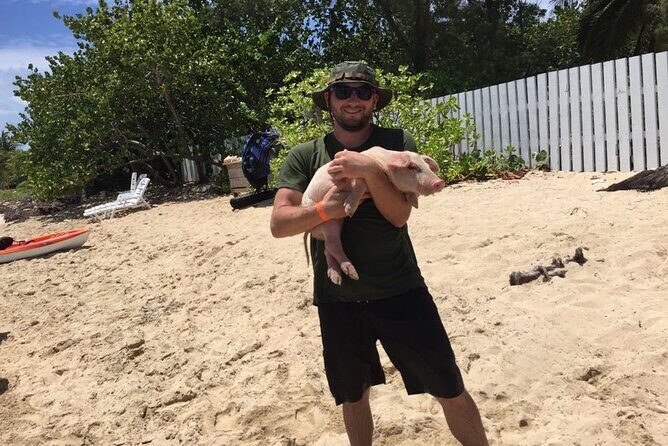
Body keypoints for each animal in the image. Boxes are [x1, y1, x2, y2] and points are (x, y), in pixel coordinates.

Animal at [302, 146, 445, 285]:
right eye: (412, 167)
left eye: (427, 167)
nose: (440, 182)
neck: (383, 165)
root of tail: (312, 230)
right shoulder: (356, 175)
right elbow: (360, 185)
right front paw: (349, 209)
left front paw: (415, 203)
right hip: (328, 221)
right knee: (331, 246)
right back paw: (353, 275)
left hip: (336, 223)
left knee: (328, 248)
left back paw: (337, 278)